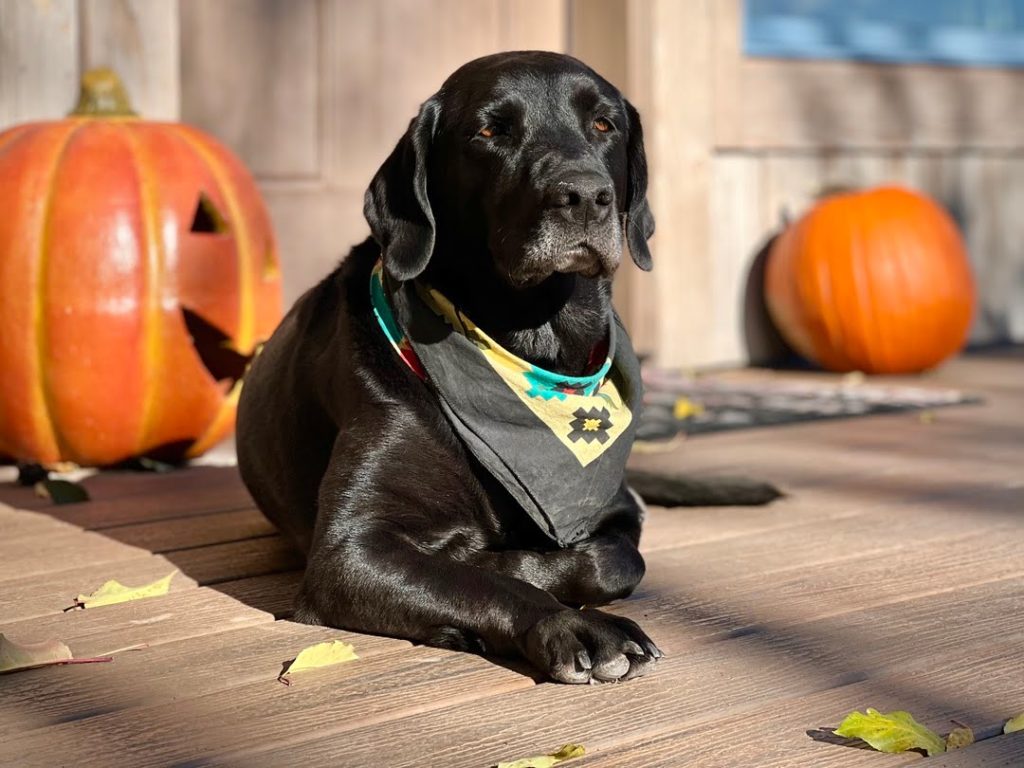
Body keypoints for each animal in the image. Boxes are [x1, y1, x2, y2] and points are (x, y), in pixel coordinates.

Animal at [235, 52, 770, 684]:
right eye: (491, 132)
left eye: (604, 124)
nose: (584, 194)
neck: (534, 346)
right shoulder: (349, 551)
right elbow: (485, 579)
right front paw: (573, 623)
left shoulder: (613, 510)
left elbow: (618, 560)